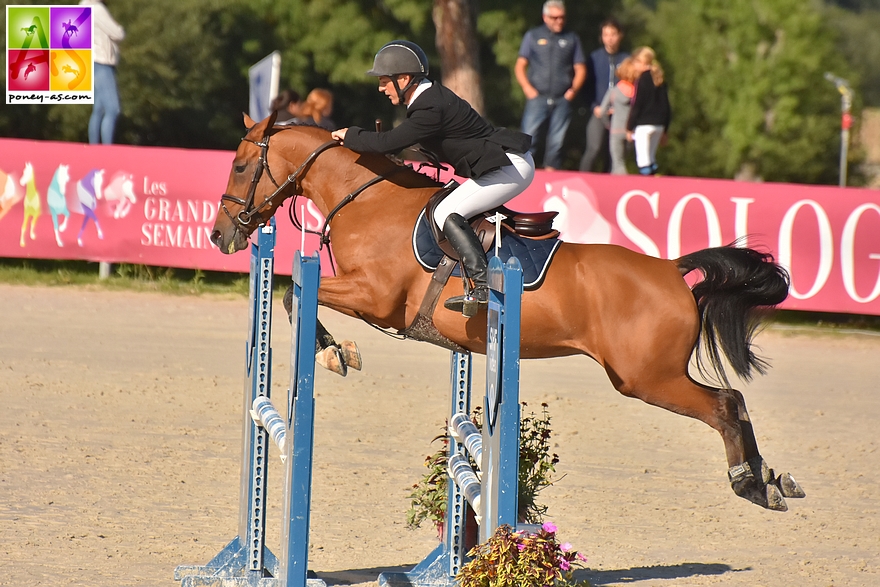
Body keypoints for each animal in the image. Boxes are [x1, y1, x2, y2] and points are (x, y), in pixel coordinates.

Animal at [211, 112, 804, 512]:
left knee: (723, 405)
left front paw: (335, 353)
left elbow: (294, 293)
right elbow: (293, 293)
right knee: (735, 400)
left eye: (240, 166)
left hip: (646, 377)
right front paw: (336, 351)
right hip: (649, 374)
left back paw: (748, 484)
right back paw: (773, 482)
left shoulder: (374, 297)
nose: (219, 236)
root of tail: (671, 269)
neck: (368, 200)